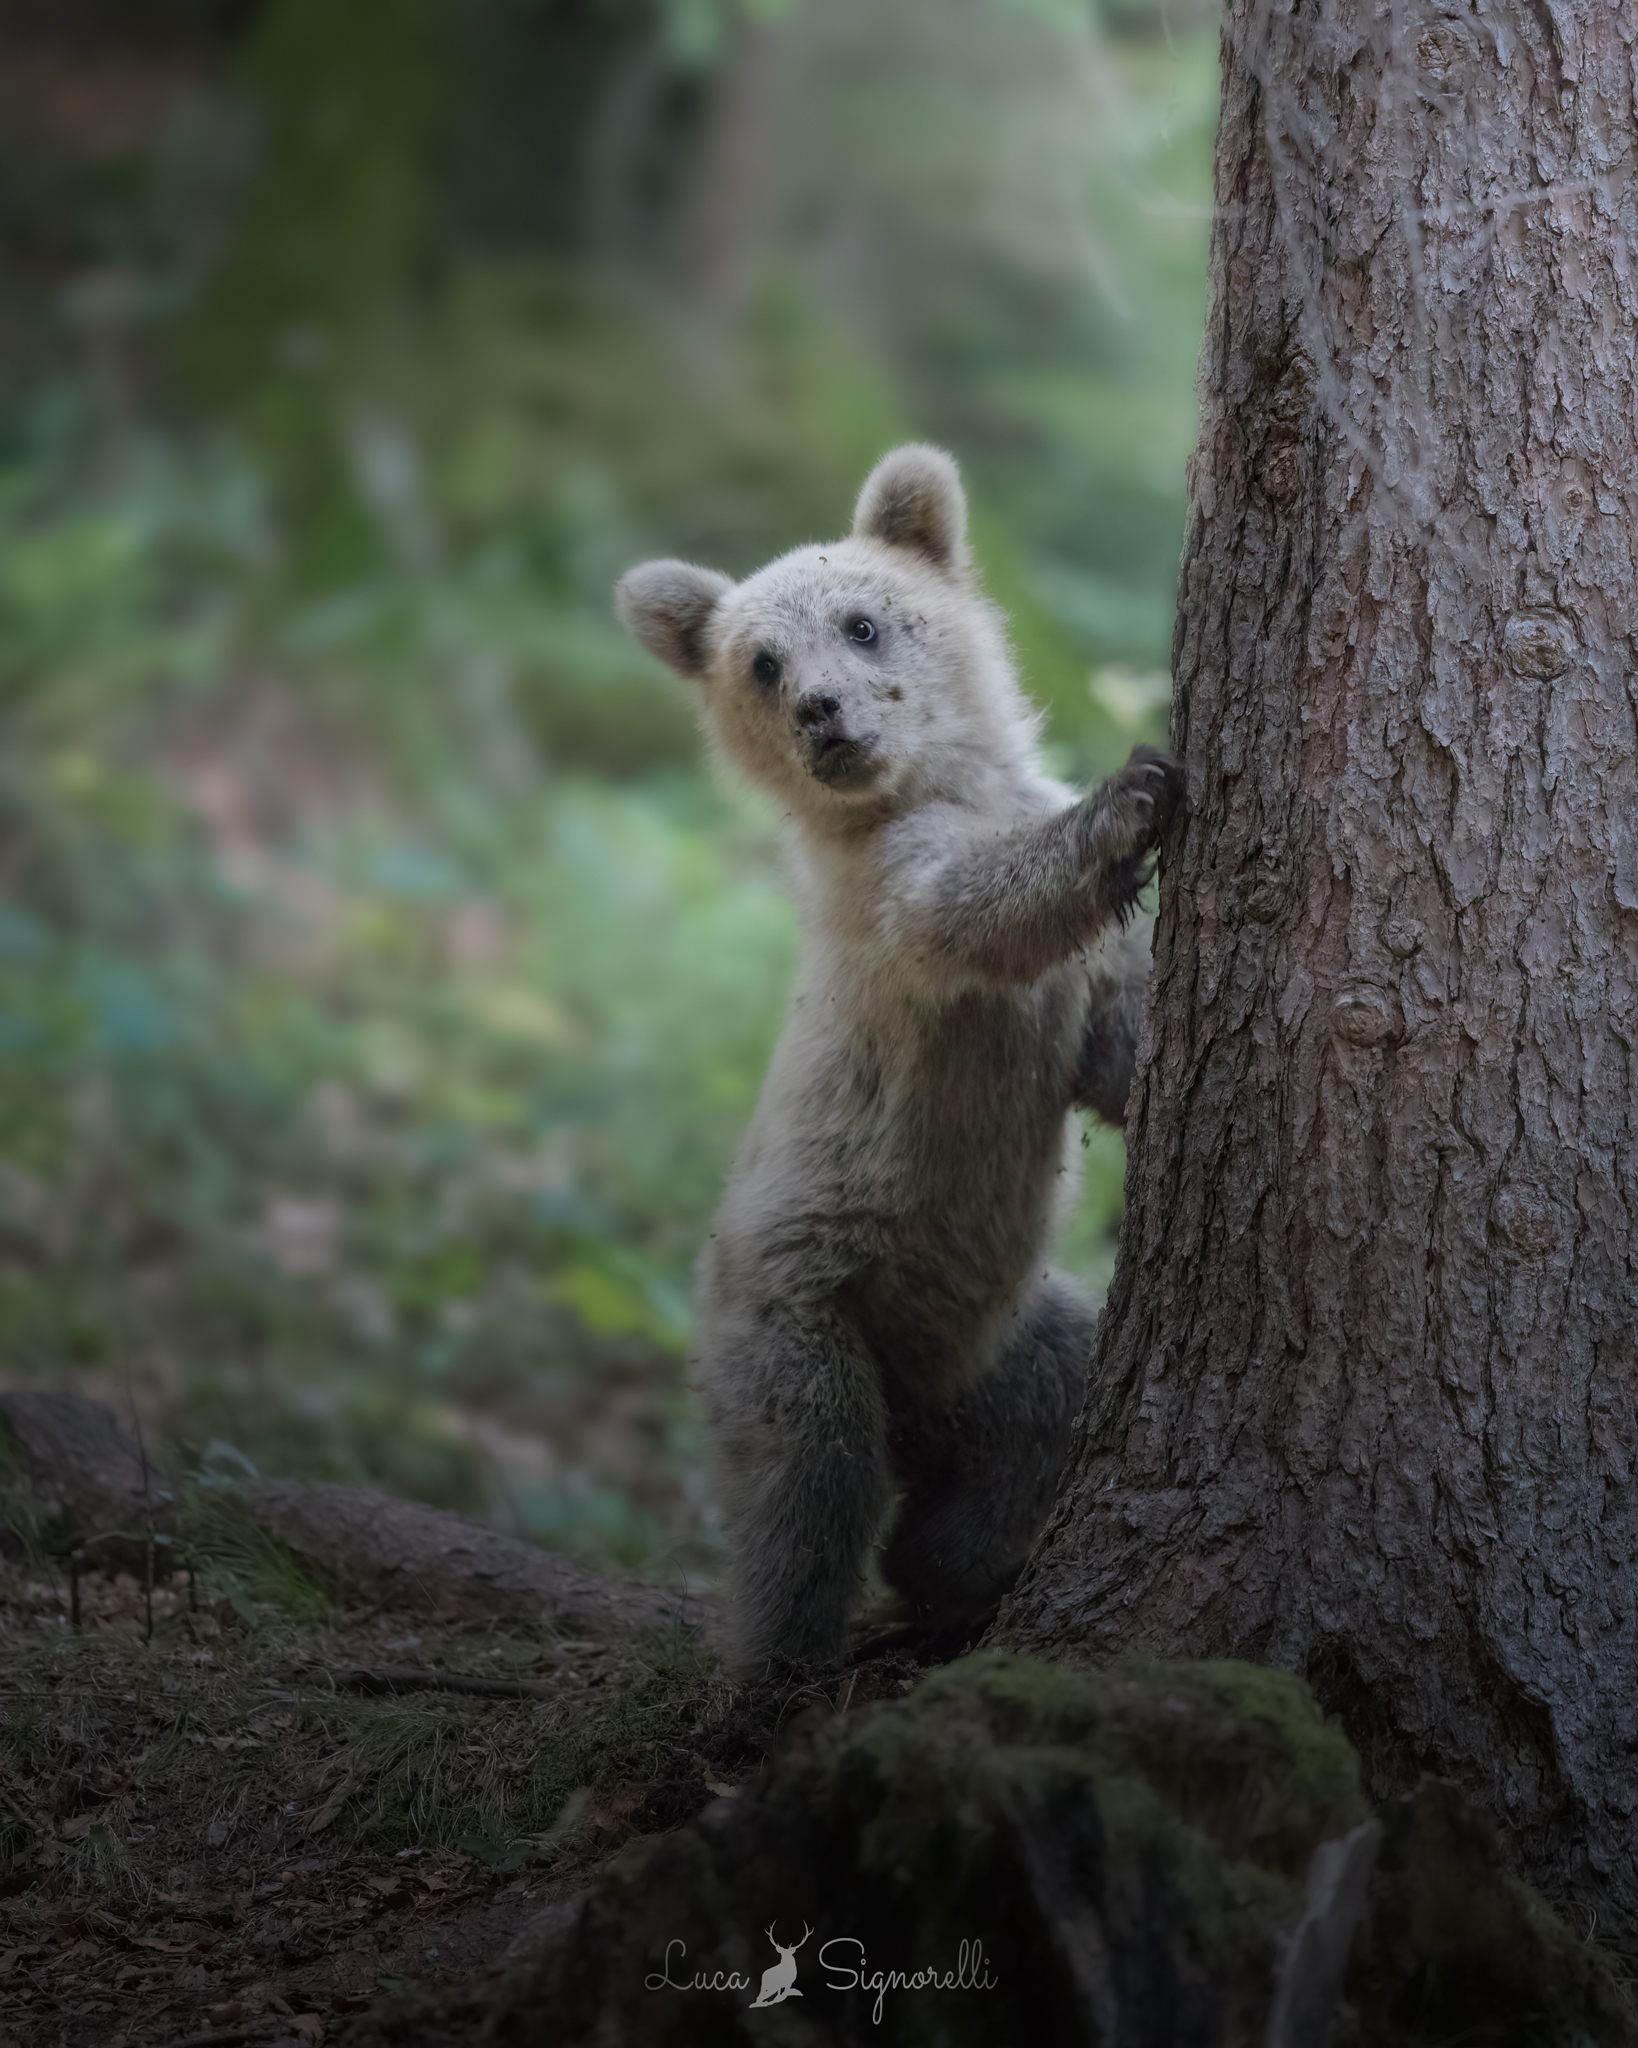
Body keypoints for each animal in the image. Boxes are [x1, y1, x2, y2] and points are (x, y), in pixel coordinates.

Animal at [615, 444, 1183, 1672]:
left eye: (864, 621)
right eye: (763, 662)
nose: (822, 710)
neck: (934, 786)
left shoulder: (1070, 1009)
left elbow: (1115, 1057)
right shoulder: (902, 920)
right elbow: (974, 908)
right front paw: (1135, 792)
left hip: (1001, 1331)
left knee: (1037, 1412)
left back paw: (956, 1564)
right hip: (801, 1314)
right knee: (808, 1493)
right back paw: (777, 1666)